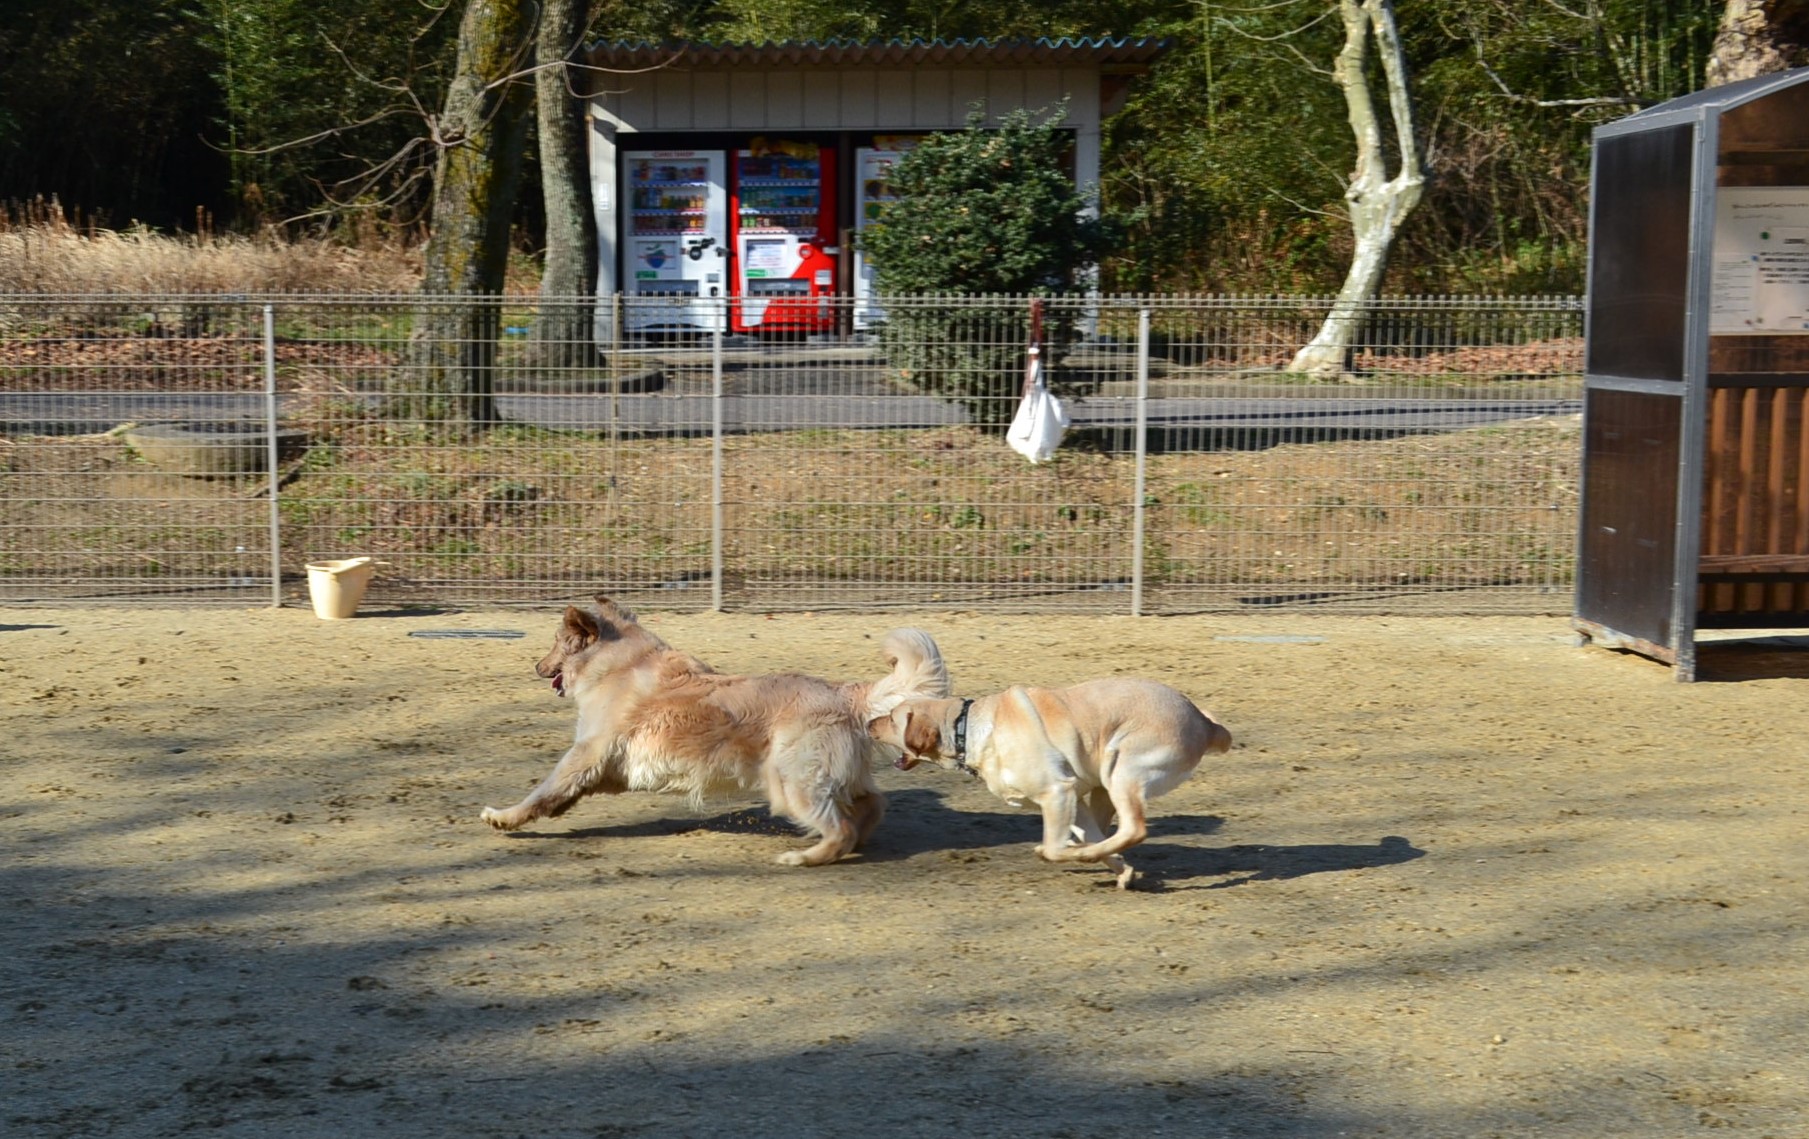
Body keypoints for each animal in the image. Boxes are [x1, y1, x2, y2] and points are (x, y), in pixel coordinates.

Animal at [488, 596, 955, 864]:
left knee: (839, 829)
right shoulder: (608, 767)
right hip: (835, 778)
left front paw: (504, 817)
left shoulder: (586, 752)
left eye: (555, 641)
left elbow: (544, 789)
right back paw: (856, 839)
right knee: (871, 806)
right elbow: (563, 795)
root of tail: (845, 694)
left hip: (791, 784)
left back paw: (804, 857)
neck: (619, 663)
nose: (536, 666)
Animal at [864, 683, 1230, 889]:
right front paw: (1122, 870)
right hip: (1104, 784)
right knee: (1108, 832)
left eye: (892, 718)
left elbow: (1054, 848)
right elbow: (1093, 838)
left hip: (1121, 770)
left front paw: (1063, 853)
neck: (967, 726)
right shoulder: (1073, 801)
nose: (867, 723)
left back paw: (1083, 854)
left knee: (1133, 828)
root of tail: (1205, 723)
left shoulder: (1057, 793)